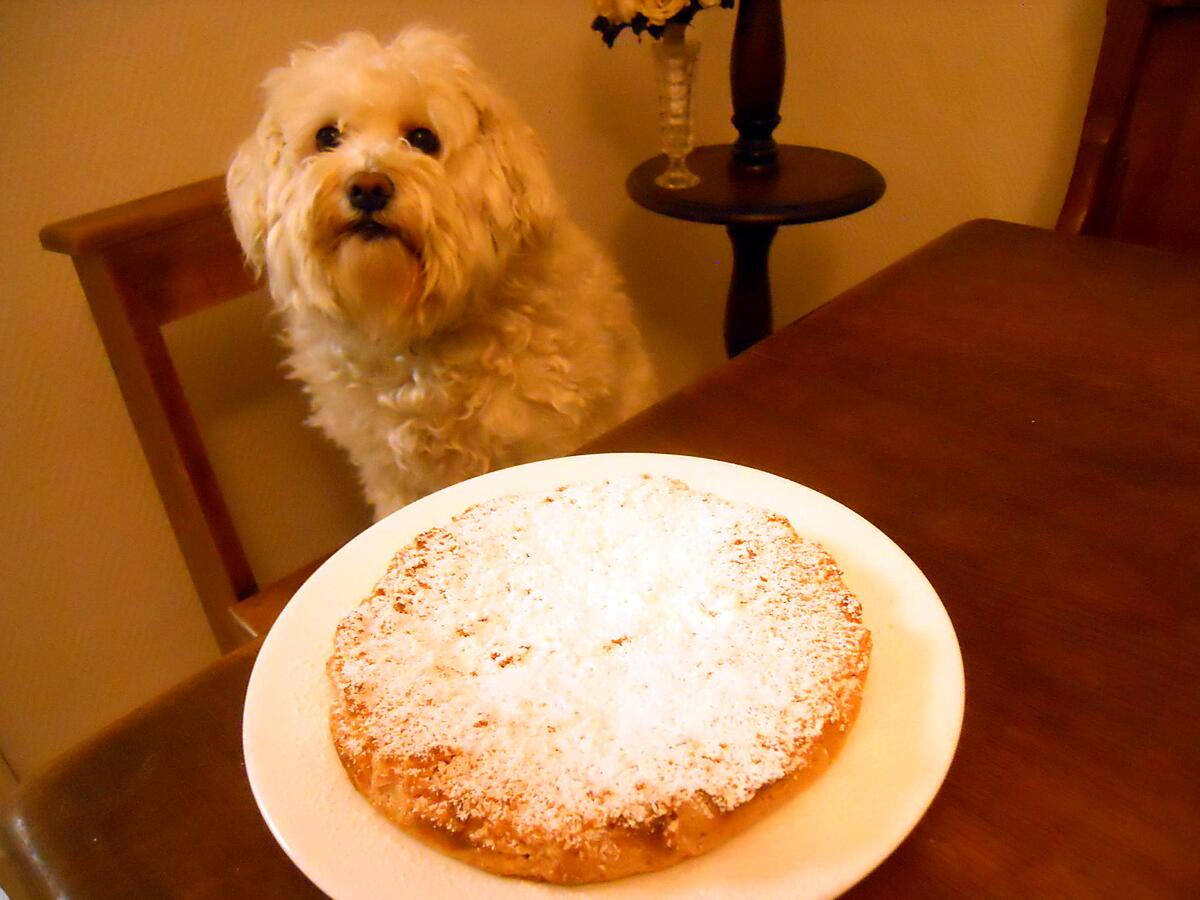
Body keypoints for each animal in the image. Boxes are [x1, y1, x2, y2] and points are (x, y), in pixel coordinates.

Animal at [225, 28, 657, 518]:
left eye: (422, 138)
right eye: (327, 136)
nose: (368, 187)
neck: (409, 327)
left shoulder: (547, 438)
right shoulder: (388, 476)